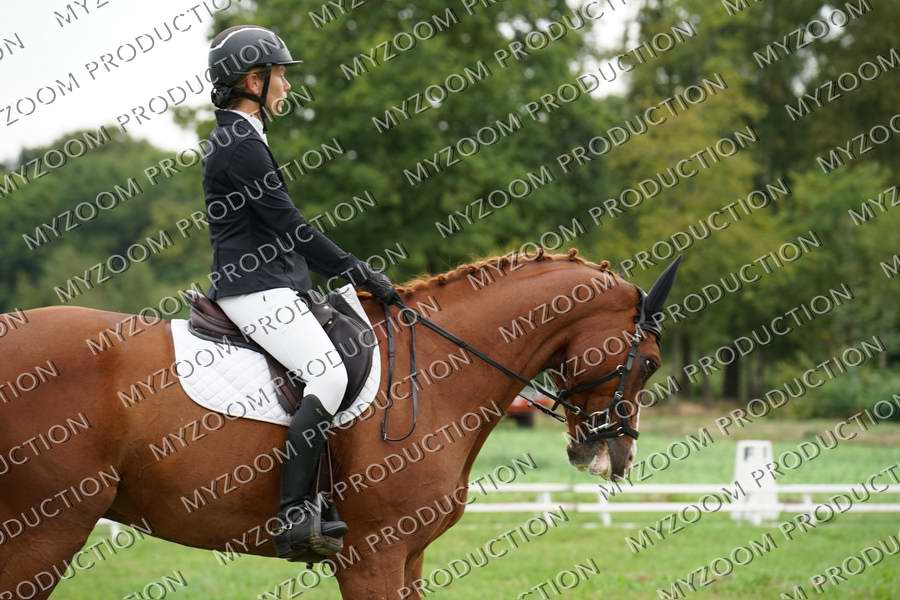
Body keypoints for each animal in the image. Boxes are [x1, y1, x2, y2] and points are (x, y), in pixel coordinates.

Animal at [0, 248, 680, 599]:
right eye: (649, 362)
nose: (615, 457)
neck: (437, 372)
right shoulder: (373, 556)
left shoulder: (409, 558)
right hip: (45, 530)